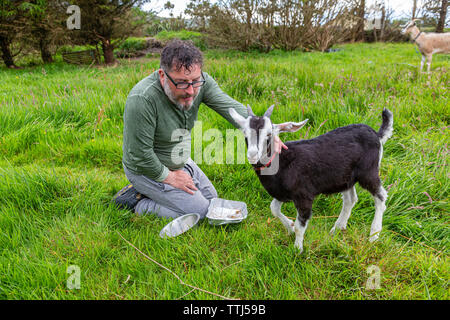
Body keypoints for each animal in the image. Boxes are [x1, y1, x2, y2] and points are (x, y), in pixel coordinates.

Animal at [230, 106, 392, 254]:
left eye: (269, 134)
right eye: (245, 133)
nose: (252, 154)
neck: (281, 161)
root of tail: (376, 135)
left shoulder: (304, 195)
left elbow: (300, 225)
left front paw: (297, 250)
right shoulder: (282, 193)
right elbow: (274, 209)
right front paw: (289, 227)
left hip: (368, 172)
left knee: (381, 197)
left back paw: (373, 235)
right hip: (345, 178)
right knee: (350, 199)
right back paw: (337, 228)